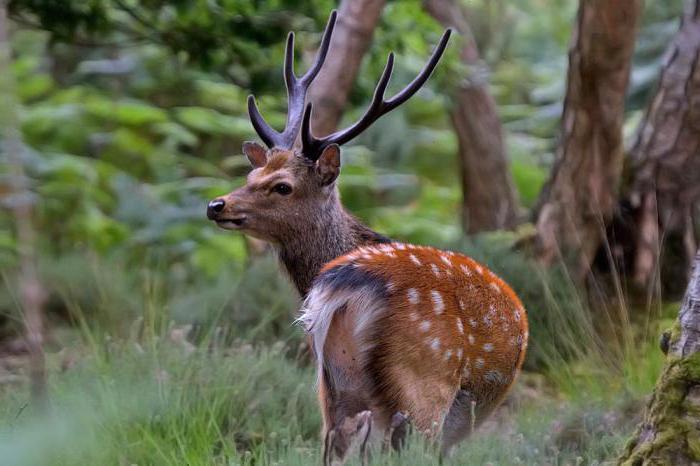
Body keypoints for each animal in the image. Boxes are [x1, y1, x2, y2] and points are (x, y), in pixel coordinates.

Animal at [208, 10, 532, 462]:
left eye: (281, 186)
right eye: (252, 176)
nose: (216, 205)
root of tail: (347, 286)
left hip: (332, 384)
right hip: (424, 381)